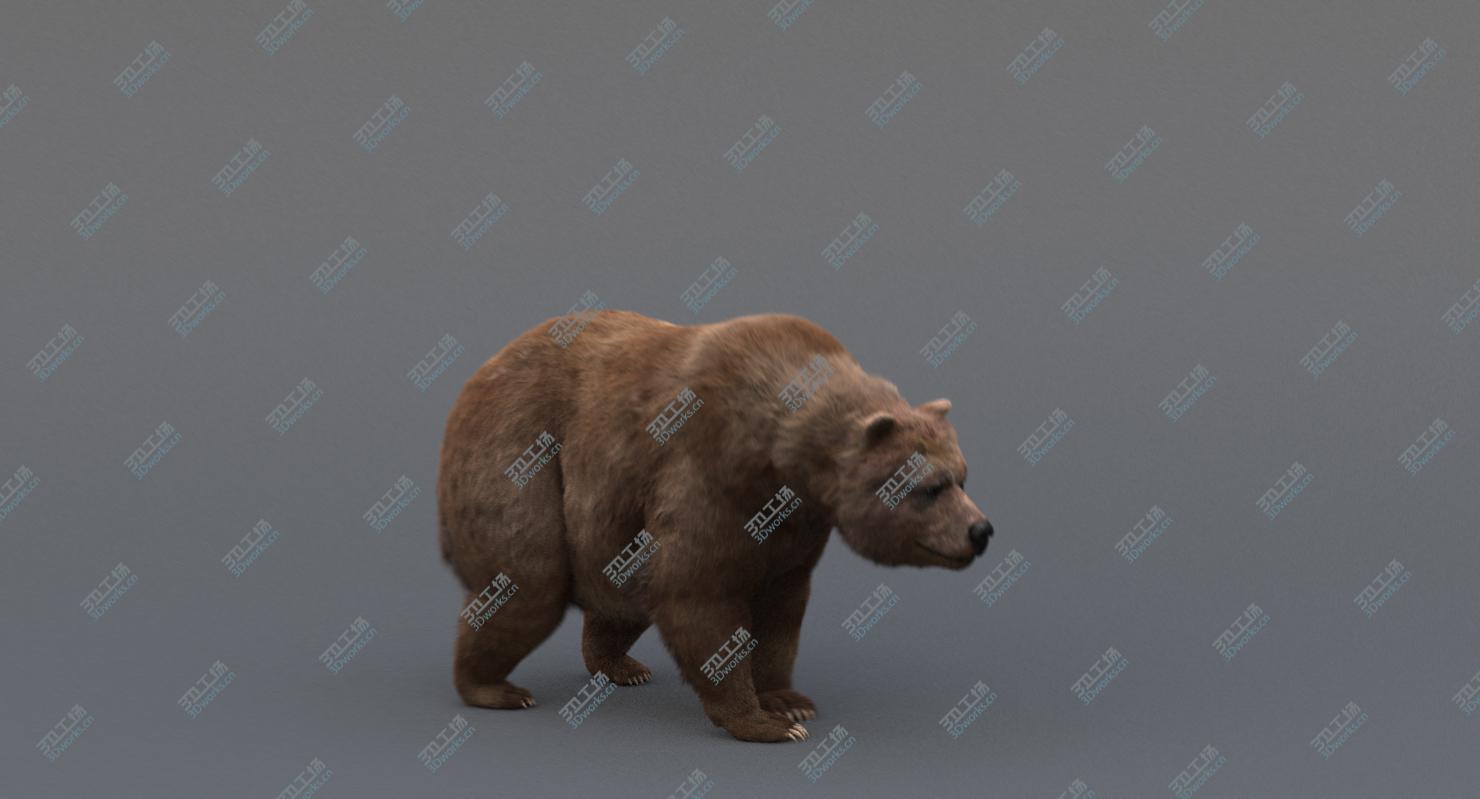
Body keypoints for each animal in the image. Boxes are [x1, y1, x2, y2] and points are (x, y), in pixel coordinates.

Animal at [437, 310, 994, 742]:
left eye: (963, 475)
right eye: (932, 487)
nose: (981, 530)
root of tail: (479, 373)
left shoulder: (794, 523)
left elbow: (781, 605)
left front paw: (788, 700)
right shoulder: (709, 470)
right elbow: (698, 592)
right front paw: (765, 723)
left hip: (609, 525)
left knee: (621, 593)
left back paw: (620, 667)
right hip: (519, 454)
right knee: (529, 582)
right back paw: (495, 688)